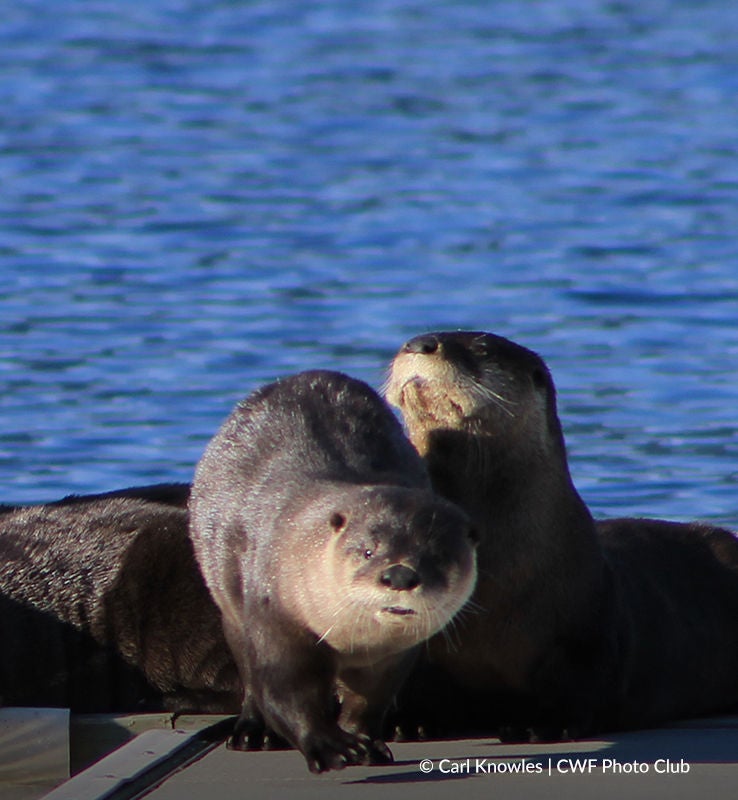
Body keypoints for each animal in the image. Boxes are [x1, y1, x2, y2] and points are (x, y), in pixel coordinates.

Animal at [189, 370, 477, 773]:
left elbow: (370, 701)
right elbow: (286, 692)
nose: (399, 576)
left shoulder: (392, 657)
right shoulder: (277, 618)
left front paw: (366, 744)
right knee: (248, 672)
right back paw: (252, 732)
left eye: (437, 555)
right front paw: (330, 747)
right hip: (230, 607)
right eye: (368, 550)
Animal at [386, 331, 738, 739]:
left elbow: (583, 681)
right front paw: (407, 723)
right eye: (411, 339)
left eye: (481, 347)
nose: (418, 344)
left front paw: (540, 724)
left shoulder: (589, 626)